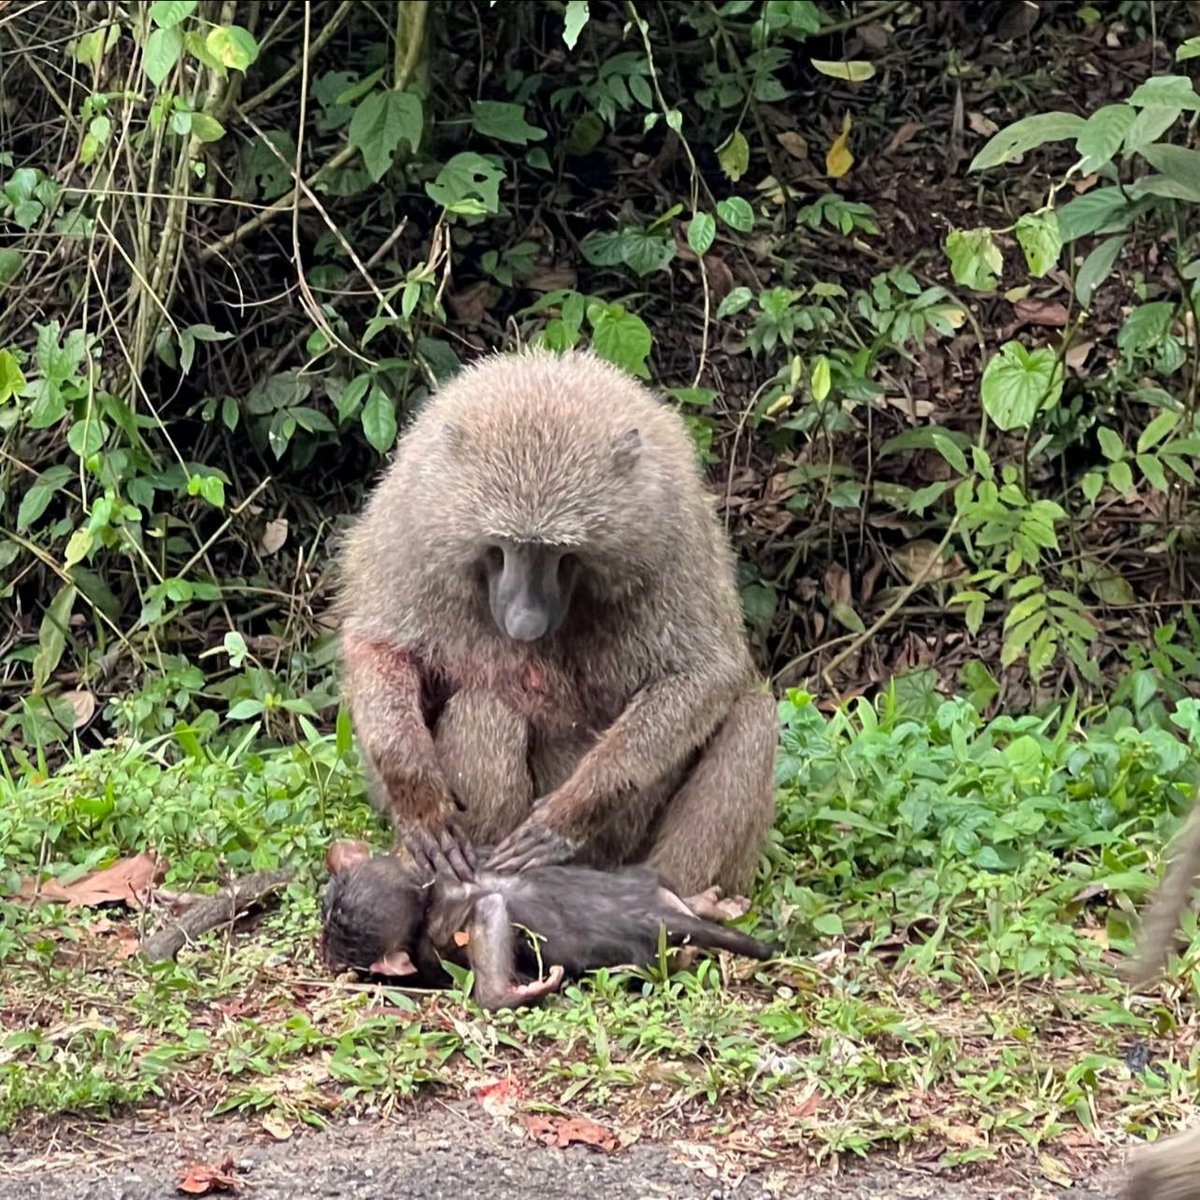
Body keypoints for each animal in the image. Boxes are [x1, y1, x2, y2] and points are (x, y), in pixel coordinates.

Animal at [318, 840, 777, 1011]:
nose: (327, 952)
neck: (424, 894)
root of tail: (651, 914)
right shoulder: (434, 943)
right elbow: (489, 910)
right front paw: (513, 992)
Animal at [335, 348, 778, 898]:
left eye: (561, 552)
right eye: (504, 546)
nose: (525, 623)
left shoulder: (674, 534)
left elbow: (707, 675)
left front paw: (565, 819)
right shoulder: (411, 529)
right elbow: (377, 645)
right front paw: (420, 802)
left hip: (624, 842)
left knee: (753, 713)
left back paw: (674, 893)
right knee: (488, 705)